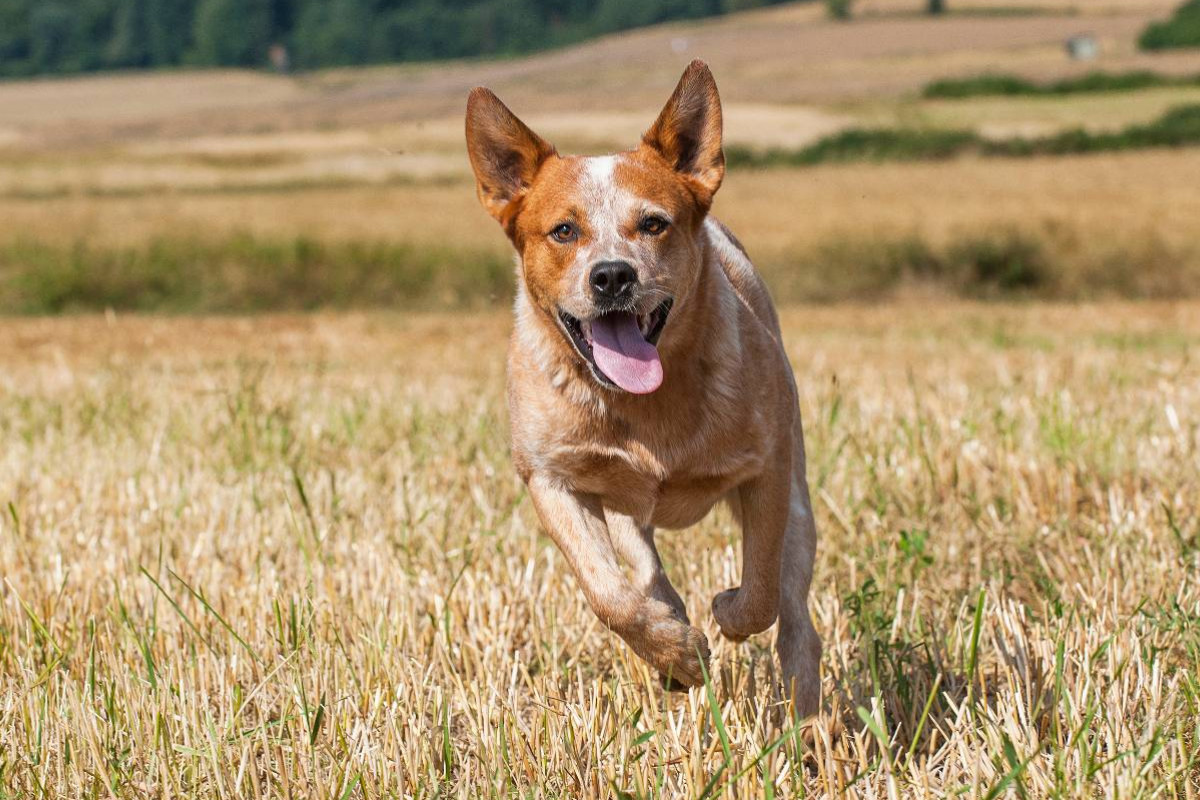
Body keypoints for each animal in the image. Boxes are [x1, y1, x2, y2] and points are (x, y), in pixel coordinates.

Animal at [463, 59, 820, 714]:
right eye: (563, 231)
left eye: (654, 223)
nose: (611, 275)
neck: (642, 409)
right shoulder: (550, 478)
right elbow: (610, 595)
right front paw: (677, 652)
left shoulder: (767, 467)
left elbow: (759, 589)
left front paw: (725, 612)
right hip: (625, 509)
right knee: (644, 569)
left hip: (800, 491)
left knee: (796, 612)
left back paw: (807, 714)